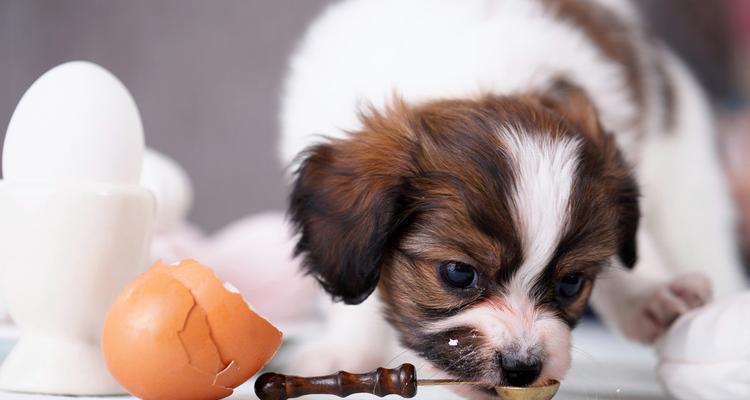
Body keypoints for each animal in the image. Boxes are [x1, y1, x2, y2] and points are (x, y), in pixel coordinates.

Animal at [280, 0, 748, 394]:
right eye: (457, 273)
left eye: (571, 283)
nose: (522, 368)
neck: (475, 78)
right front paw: (347, 349)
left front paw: (649, 293)